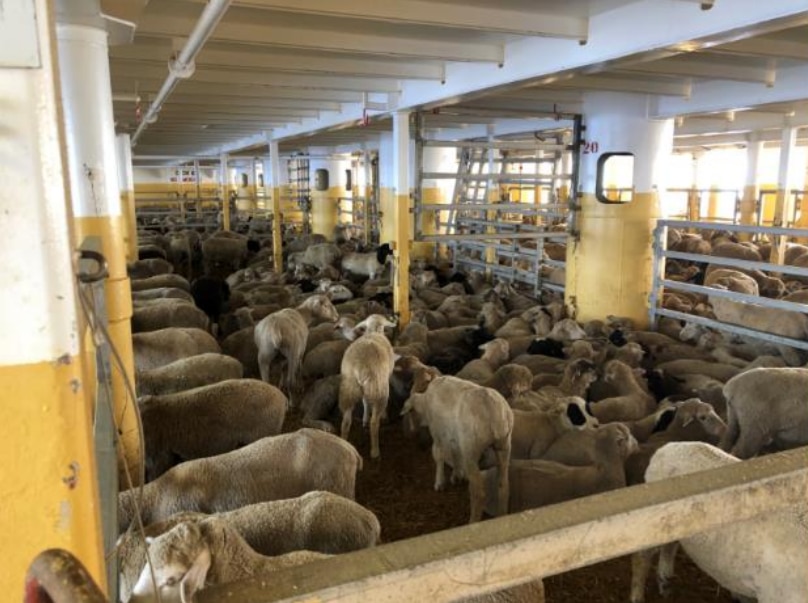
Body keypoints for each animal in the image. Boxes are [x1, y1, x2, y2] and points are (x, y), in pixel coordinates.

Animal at [401, 376, 513, 523]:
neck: (425, 402)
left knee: (479, 493)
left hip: (471, 450)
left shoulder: (438, 433)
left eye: (410, 412)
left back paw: (473, 521)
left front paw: (439, 483)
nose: (412, 431)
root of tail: (493, 411)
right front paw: (456, 476)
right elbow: (455, 454)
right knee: (504, 486)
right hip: (504, 445)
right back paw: (502, 515)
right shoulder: (455, 438)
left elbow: (439, 455)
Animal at [634, 442, 808, 603]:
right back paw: (638, 596)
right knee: (642, 558)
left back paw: (666, 582)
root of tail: (666, 448)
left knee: (670, 546)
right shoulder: (776, 595)